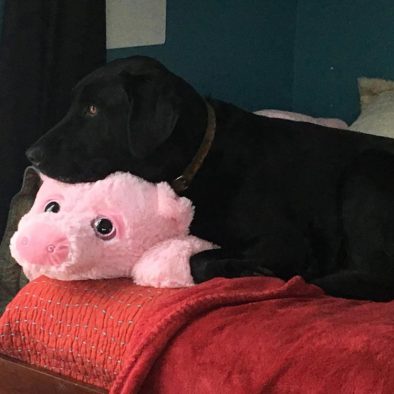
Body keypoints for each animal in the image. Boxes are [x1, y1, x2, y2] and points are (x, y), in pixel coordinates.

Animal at [26, 55, 394, 300]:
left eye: (93, 110)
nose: (31, 155)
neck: (202, 158)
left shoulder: (286, 239)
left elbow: (199, 259)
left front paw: (246, 269)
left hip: (367, 172)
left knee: (374, 279)